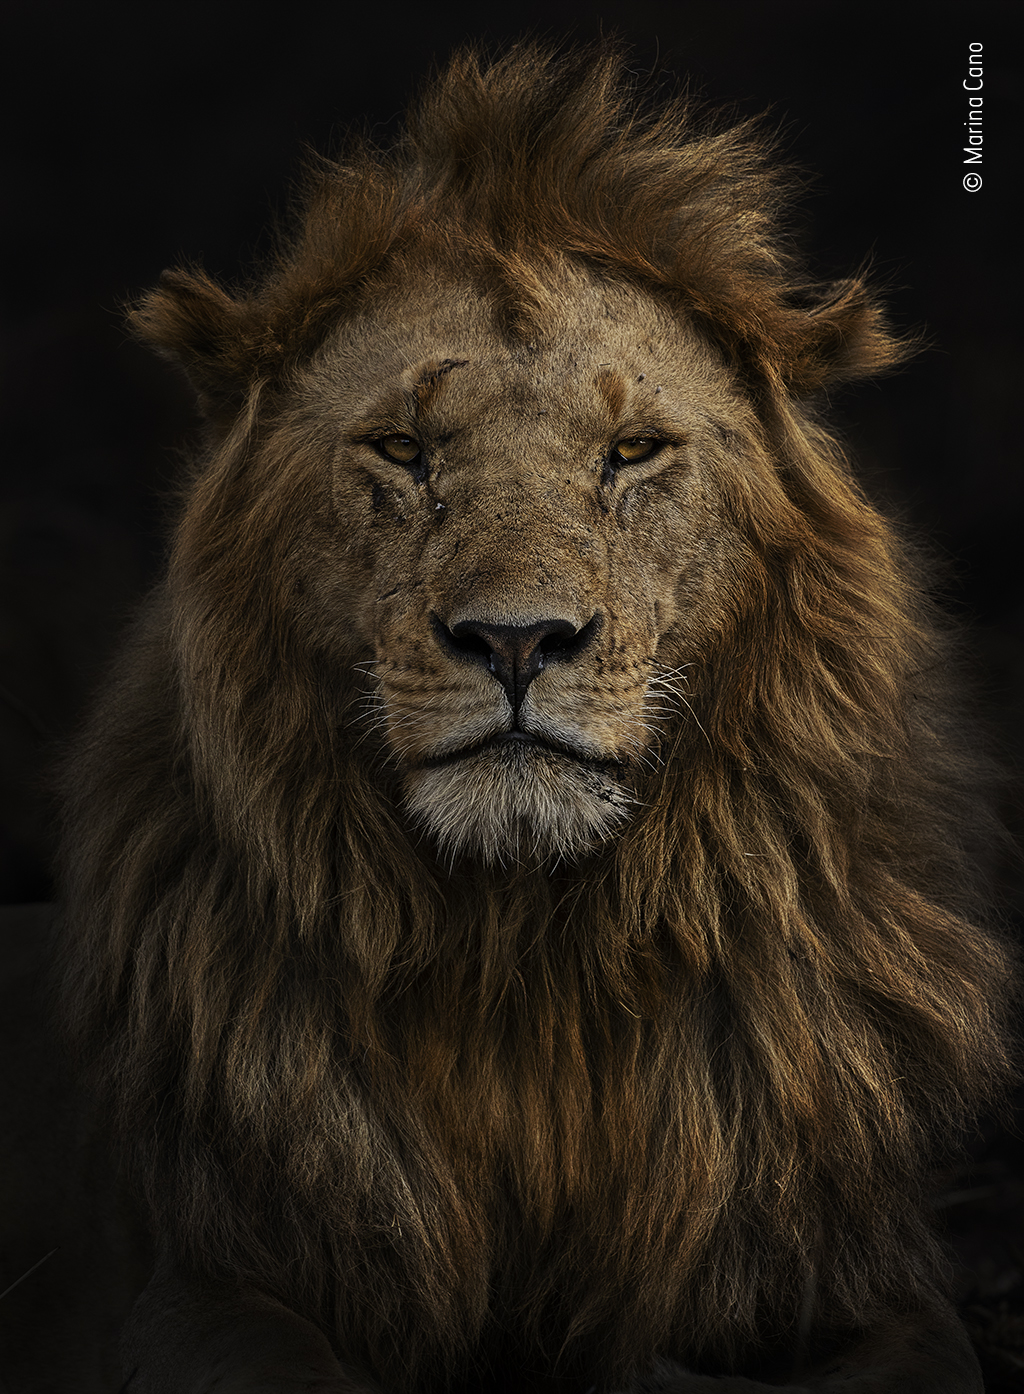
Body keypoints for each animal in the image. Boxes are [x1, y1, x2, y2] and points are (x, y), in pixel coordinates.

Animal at [10, 40, 1019, 1394]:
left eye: (632, 450)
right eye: (400, 447)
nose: (516, 640)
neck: (528, 961)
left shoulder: (858, 1277)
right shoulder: (201, 1277)